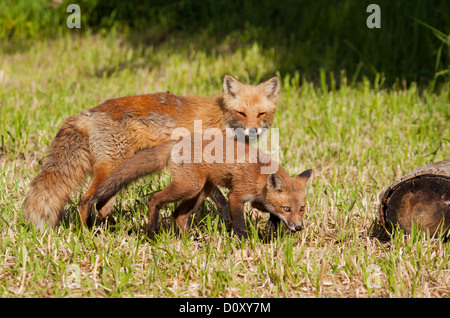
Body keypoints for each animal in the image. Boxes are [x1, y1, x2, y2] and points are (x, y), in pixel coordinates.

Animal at [23, 76, 282, 230]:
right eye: (241, 113)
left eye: (260, 114)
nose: (253, 130)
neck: (222, 119)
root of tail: (87, 113)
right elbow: (219, 200)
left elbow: (209, 200)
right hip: (111, 169)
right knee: (85, 202)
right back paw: (88, 233)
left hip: (119, 173)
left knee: (103, 206)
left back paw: (116, 230)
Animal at [89, 135, 312, 240]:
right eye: (287, 209)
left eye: (301, 209)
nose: (299, 227)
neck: (259, 175)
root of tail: (178, 141)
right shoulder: (236, 196)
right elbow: (239, 224)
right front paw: (246, 241)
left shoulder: (258, 200)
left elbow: (269, 213)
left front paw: (271, 229)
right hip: (189, 187)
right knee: (154, 199)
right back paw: (151, 233)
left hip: (199, 192)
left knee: (178, 214)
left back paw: (189, 240)